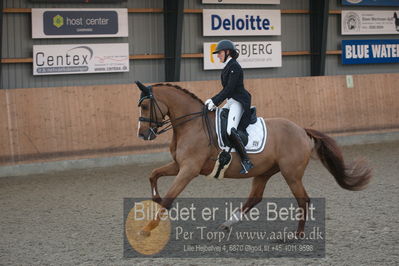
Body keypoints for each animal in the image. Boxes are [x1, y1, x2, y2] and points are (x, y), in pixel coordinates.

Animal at [136, 82, 374, 236]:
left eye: (146, 106)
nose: (143, 135)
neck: (191, 124)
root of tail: (301, 130)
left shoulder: (189, 169)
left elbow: (169, 199)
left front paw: (147, 228)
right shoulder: (179, 165)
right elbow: (152, 175)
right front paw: (154, 197)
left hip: (291, 174)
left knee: (302, 200)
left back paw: (297, 235)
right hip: (264, 171)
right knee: (255, 198)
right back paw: (227, 224)